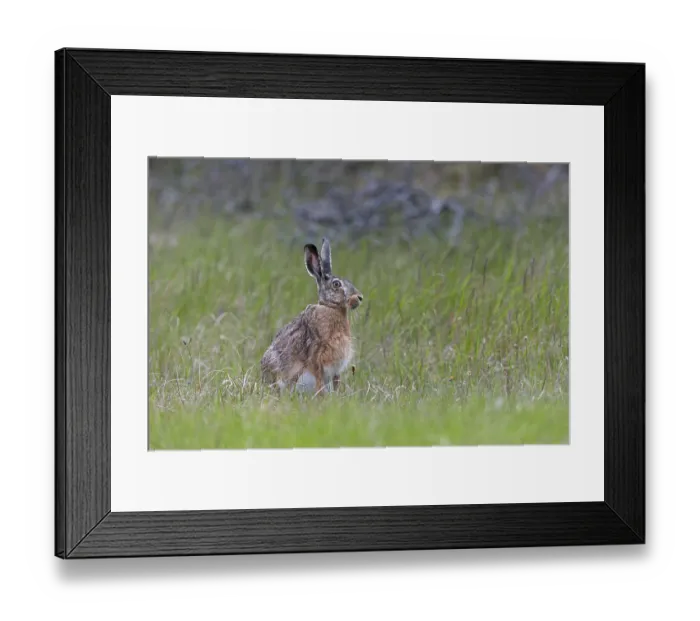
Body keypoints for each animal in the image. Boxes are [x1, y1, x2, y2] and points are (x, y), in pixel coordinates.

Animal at [261, 237, 363, 395]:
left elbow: (336, 381)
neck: (330, 308)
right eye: (336, 284)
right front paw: (322, 396)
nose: (359, 297)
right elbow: (319, 378)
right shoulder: (316, 354)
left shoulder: (336, 367)